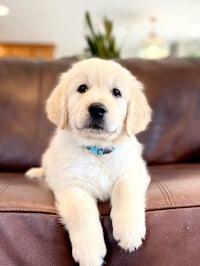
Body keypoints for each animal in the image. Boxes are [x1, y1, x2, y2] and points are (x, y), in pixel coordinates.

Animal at [25, 58, 152, 266]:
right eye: (82, 88)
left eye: (116, 92)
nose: (97, 109)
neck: (98, 151)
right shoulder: (71, 185)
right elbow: (82, 210)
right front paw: (90, 252)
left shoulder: (135, 171)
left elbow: (124, 187)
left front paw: (129, 233)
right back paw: (35, 173)